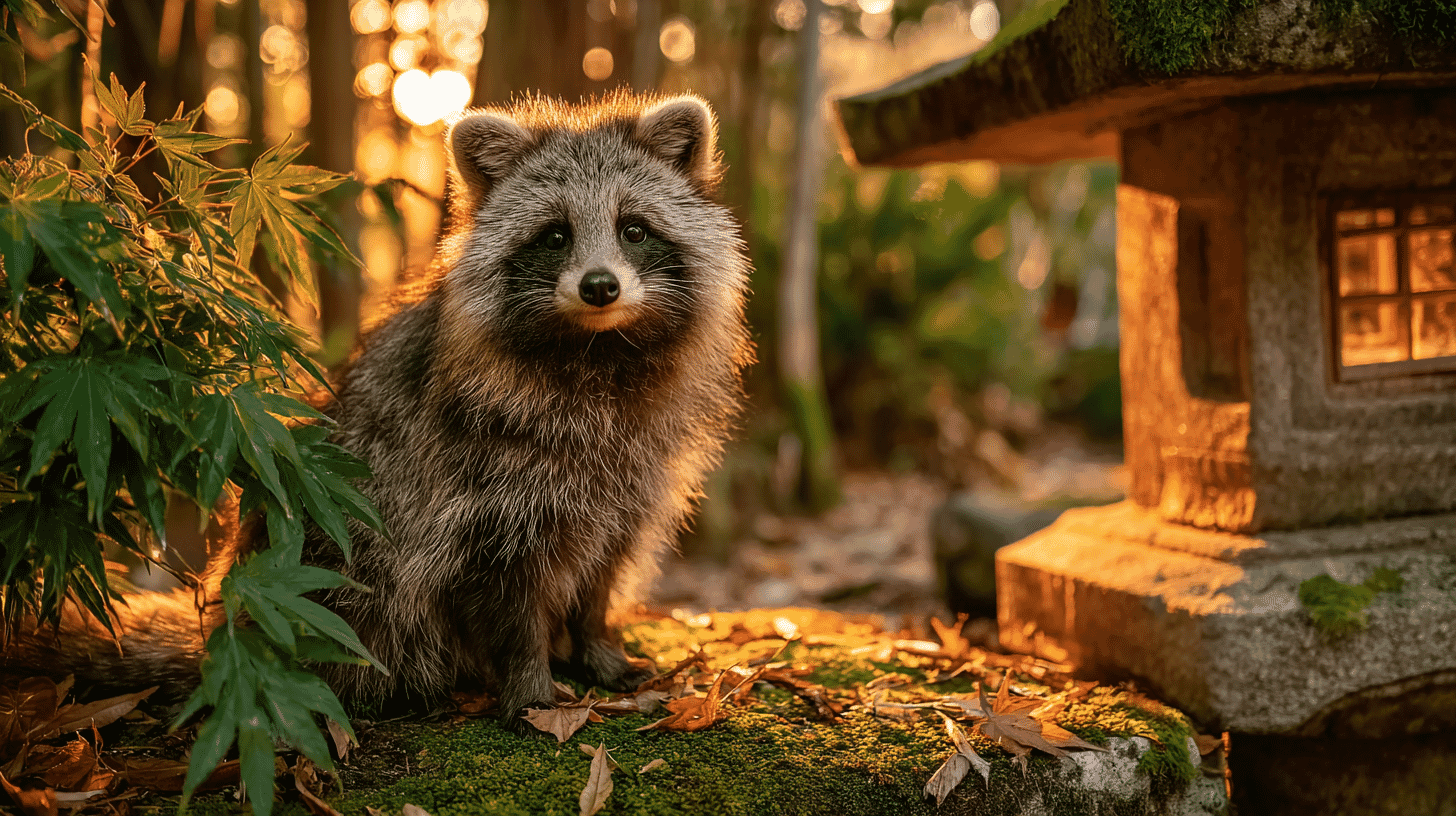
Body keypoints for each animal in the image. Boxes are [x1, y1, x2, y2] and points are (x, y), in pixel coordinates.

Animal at [7, 93, 753, 727]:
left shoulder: (631, 474)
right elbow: (508, 589)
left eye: (634, 230)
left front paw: (596, 644)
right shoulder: (485, 484)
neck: (598, 352)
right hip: (341, 582)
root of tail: (235, 623)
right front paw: (530, 684)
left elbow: (603, 566)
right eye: (555, 235)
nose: (600, 286)